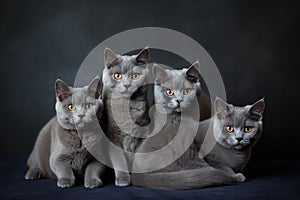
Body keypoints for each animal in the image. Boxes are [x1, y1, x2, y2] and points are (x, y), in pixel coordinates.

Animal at [102, 47, 151, 186]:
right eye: (117, 76)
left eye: (135, 76)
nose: (127, 84)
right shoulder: (112, 136)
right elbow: (119, 160)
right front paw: (123, 180)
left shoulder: (143, 132)